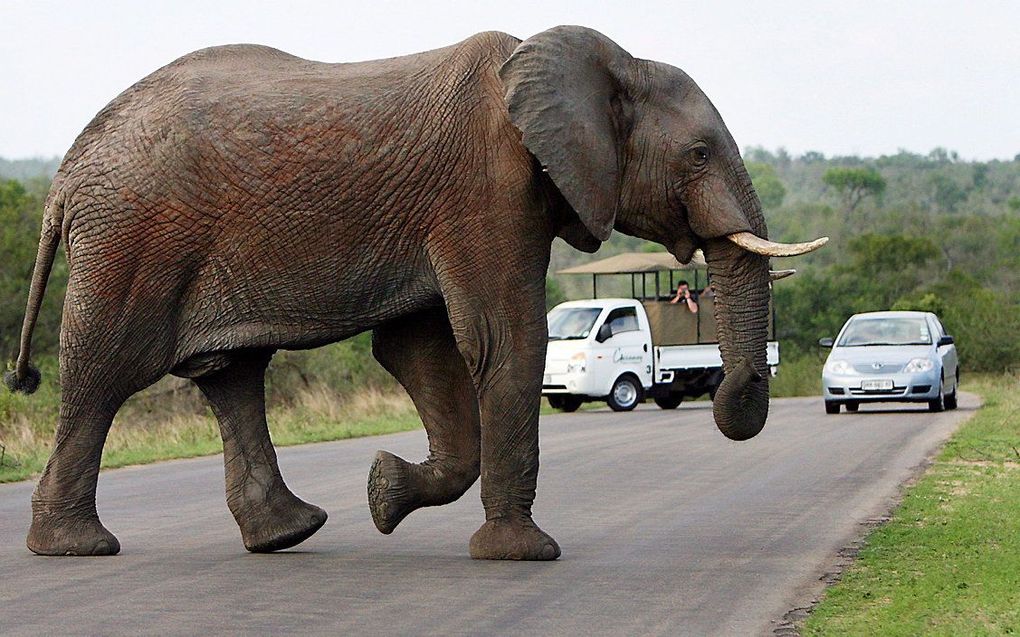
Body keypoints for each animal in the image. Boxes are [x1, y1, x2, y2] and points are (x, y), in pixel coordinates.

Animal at [3, 27, 824, 558]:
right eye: (698, 154)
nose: (725, 399)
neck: (605, 62)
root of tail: (65, 174)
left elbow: (419, 351)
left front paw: (383, 493)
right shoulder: (486, 187)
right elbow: (506, 340)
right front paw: (522, 554)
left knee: (232, 376)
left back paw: (291, 532)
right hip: (133, 238)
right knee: (104, 373)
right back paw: (75, 547)